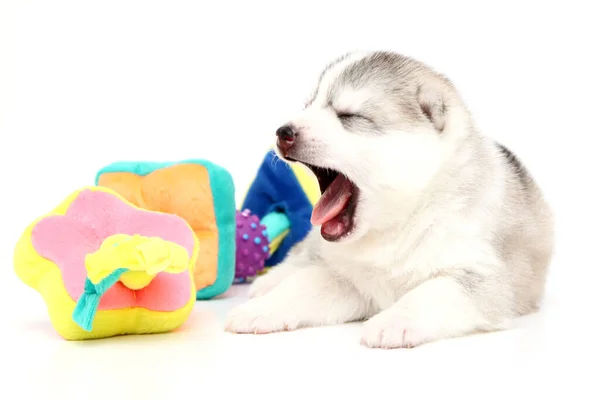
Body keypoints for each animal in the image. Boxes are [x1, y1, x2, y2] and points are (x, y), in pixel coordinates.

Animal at [224, 51, 552, 348]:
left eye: (348, 116)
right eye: (308, 107)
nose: (283, 131)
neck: (400, 222)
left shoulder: (481, 277)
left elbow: (433, 292)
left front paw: (395, 321)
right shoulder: (347, 278)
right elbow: (303, 285)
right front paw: (261, 310)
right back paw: (269, 282)